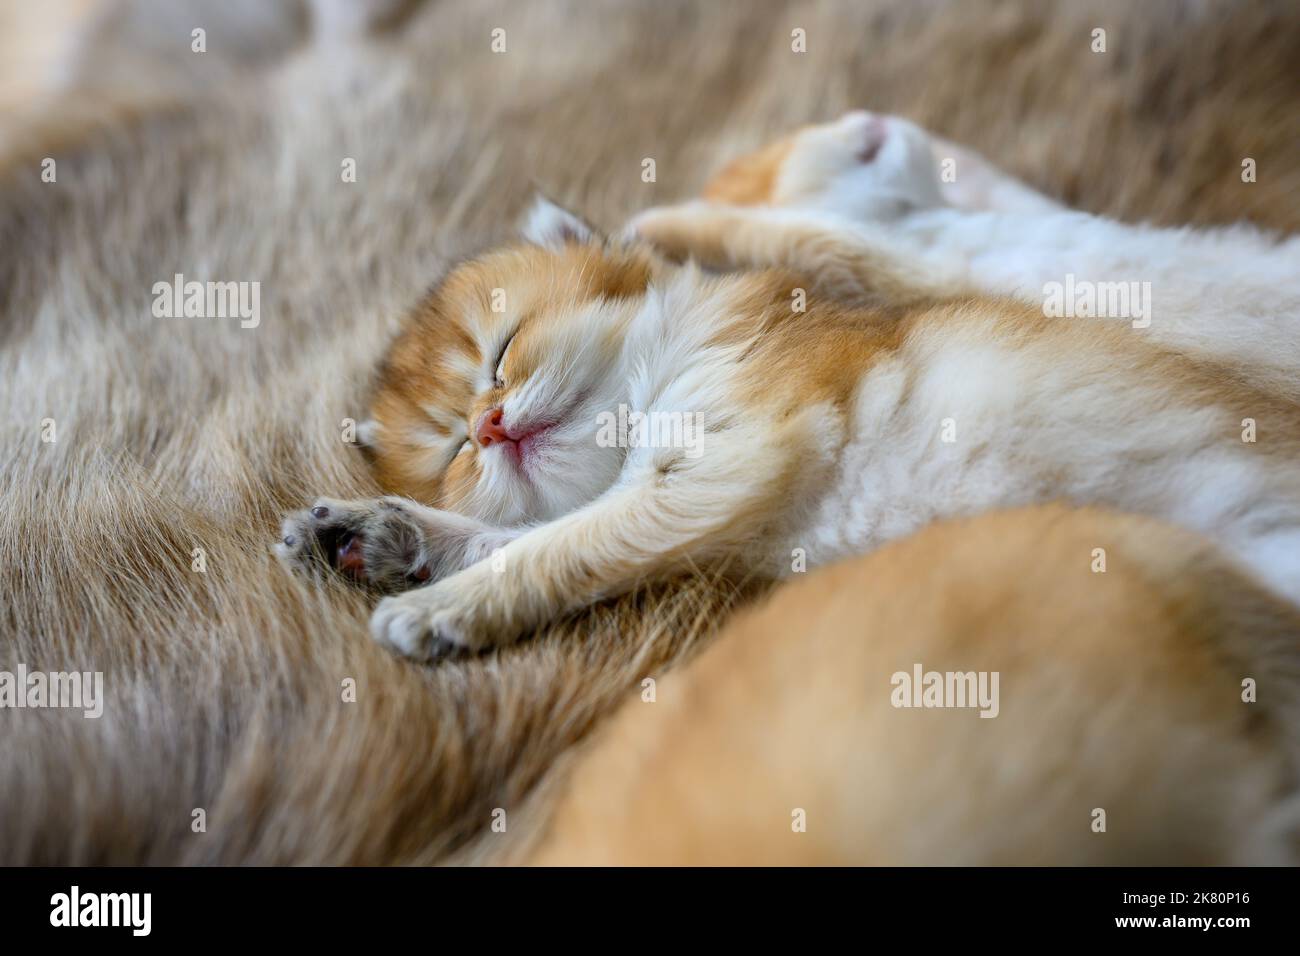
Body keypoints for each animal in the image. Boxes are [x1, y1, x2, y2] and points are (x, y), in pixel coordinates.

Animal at [279, 111, 1300, 660]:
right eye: (453, 449)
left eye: (501, 354)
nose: (490, 426)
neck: (669, 364)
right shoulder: (704, 511)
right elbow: (524, 533)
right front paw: (378, 535)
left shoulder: (735, 460)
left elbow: (552, 548)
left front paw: (437, 608)